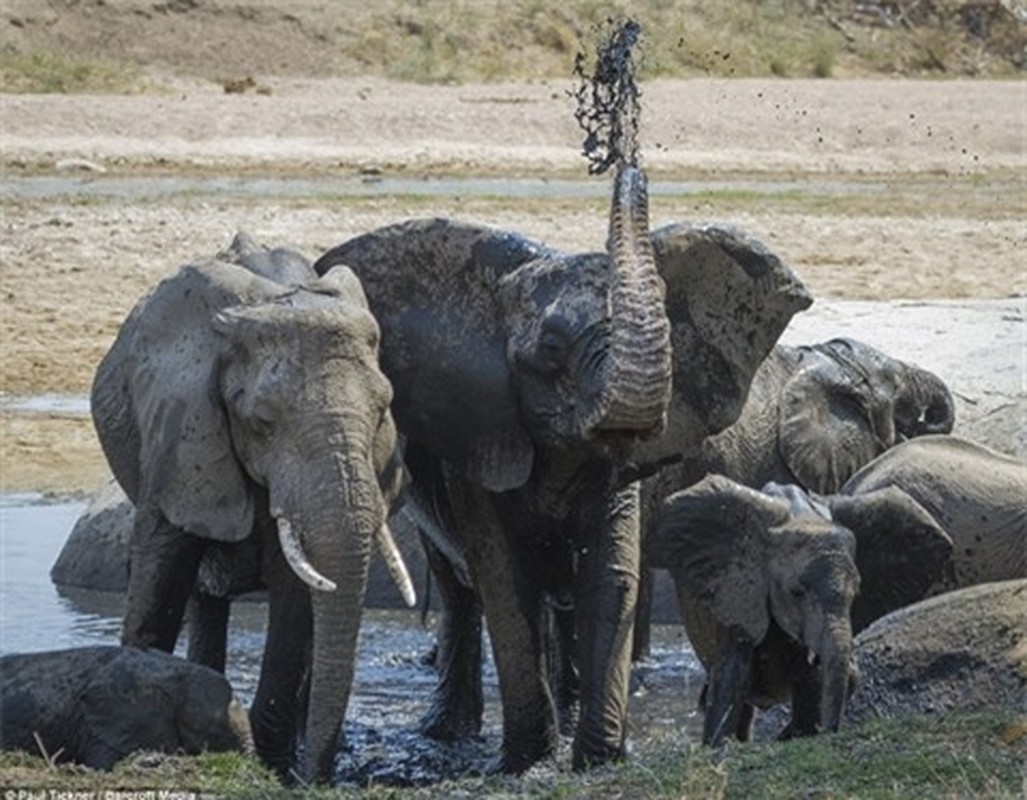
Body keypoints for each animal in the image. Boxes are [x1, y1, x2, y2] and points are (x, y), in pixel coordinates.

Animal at [88, 231, 408, 780]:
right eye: (262, 421)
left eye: (383, 409)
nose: (317, 780)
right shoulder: (179, 430)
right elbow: (160, 572)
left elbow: (296, 597)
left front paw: (278, 766)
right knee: (201, 594)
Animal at [312, 162, 809, 768]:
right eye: (549, 348)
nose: (626, 160)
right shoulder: (482, 436)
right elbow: (505, 582)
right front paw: (528, 763)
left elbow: (609, 577)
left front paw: (599, 759)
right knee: (459, 588)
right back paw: (446, 734)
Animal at [657, 476, 953, 743]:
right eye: (795, 593)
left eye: (856, 595)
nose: (830, 733)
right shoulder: (737, 595)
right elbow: (731, 679)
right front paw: (719, 746)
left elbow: (811, 680)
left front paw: (800, 732)